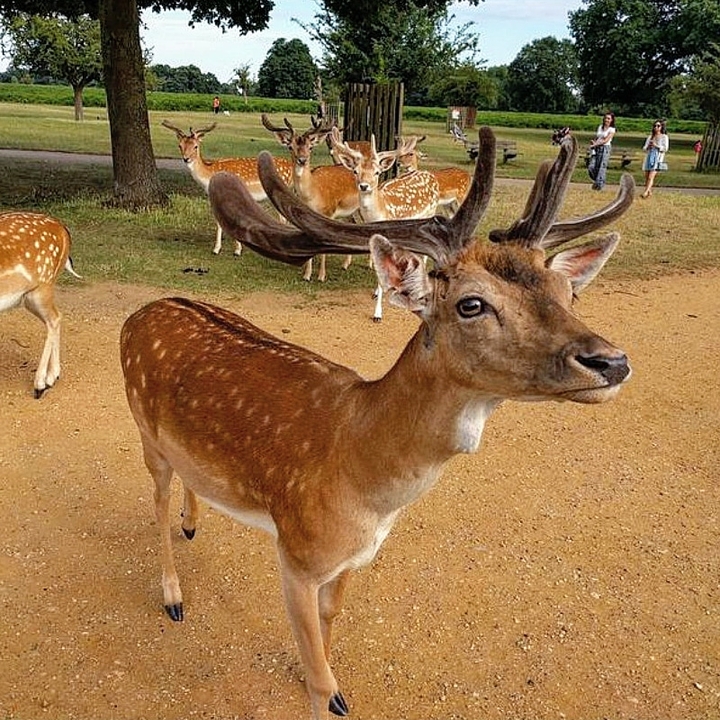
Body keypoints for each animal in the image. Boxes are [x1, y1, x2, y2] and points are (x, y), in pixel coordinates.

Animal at [0, 211, 81, 397]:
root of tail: (63, 230)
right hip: (29, 296)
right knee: (57, 317)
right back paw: (53, 376)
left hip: (42, 287)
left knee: (54, 318)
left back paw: (41, 384)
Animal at [161, 120, 294, 256]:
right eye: (180, 145)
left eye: (196, 146)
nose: (186, 159)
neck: (209, 176)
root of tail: (291, 166)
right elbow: (219, 222)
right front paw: (216, 249)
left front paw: (237, 251)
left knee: (284, 218)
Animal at [261, 114, 359, 282]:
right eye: (290, 146)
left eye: (311, 147)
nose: (302, 159)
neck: (312, 196)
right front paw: (306, 275)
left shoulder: (328, 213)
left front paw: (321, 276)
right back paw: (345, 264)